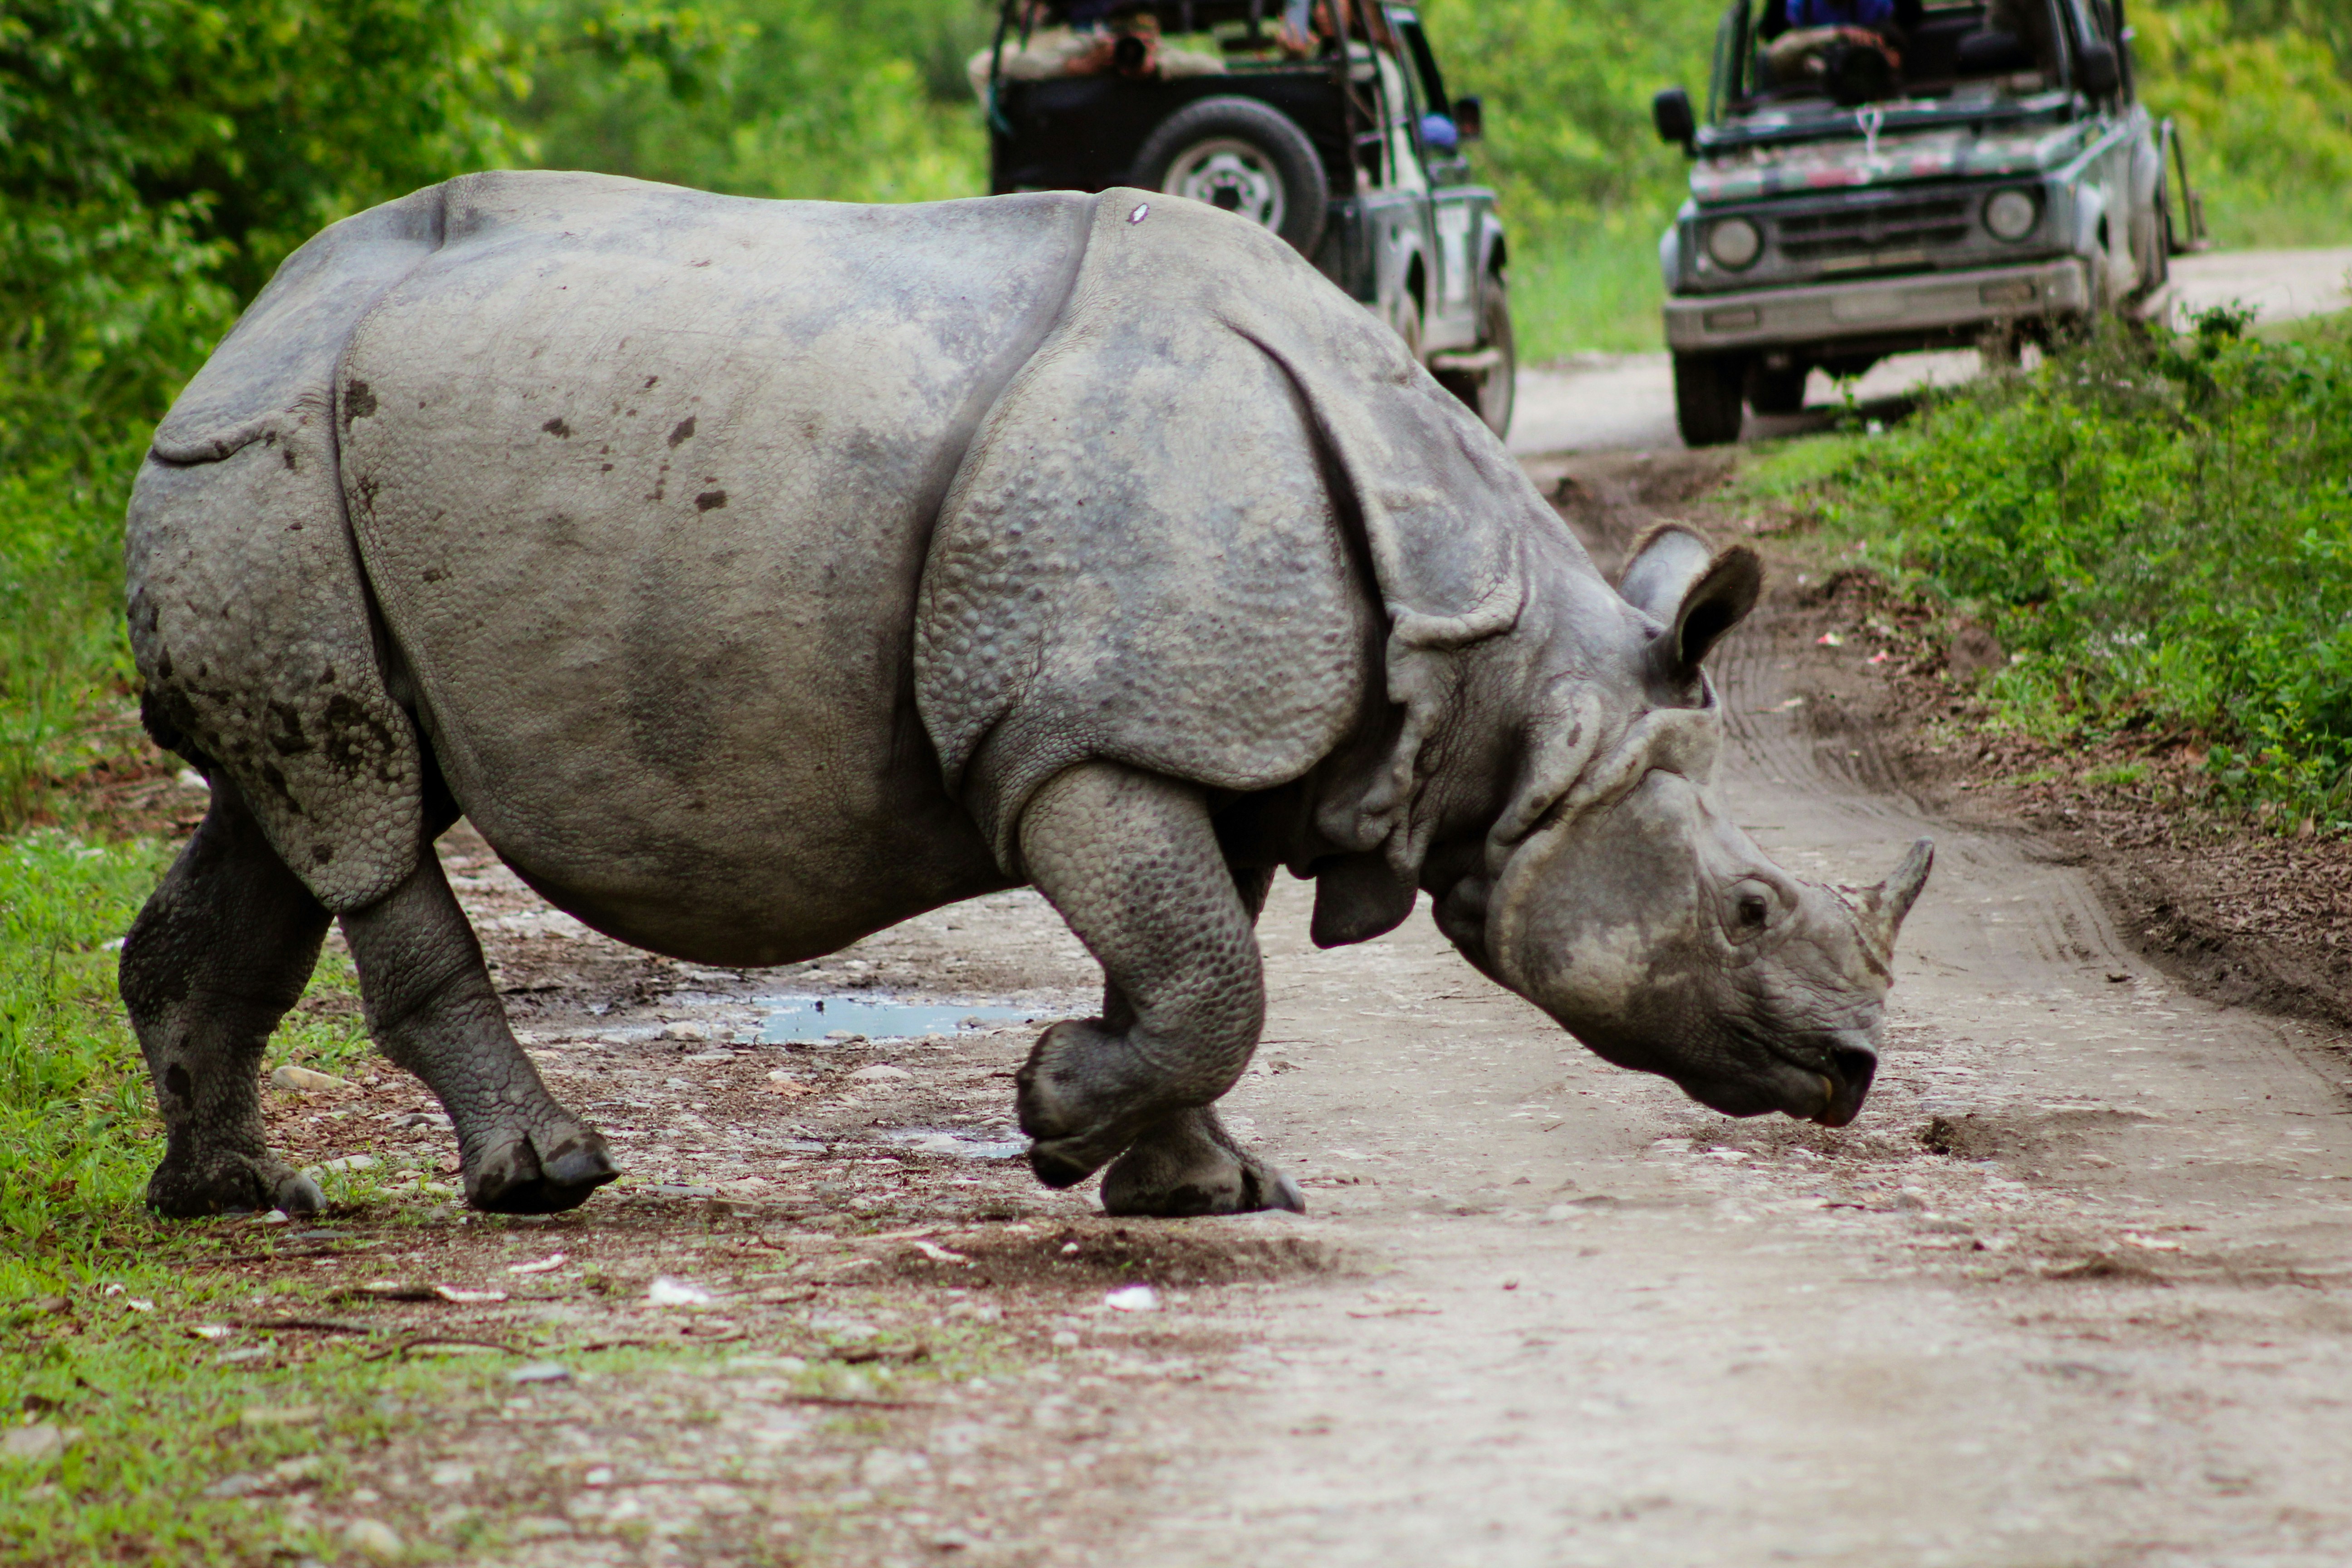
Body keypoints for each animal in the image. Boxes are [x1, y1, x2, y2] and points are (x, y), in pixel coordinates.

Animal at [120, 170, 1930, 1220]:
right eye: (1749, 908)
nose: (1852, 1074)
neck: (1499, 676)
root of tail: (243, 322)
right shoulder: (1075, 739)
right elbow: (1207, 979)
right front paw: (1060, 1117)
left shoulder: (1217, 736)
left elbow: (1199, 970)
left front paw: (1201, 1189)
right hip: (269, 457)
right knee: (359, 809)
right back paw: (547, 1182)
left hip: (313, 463)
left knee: (296, 805)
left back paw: (236, 1199)